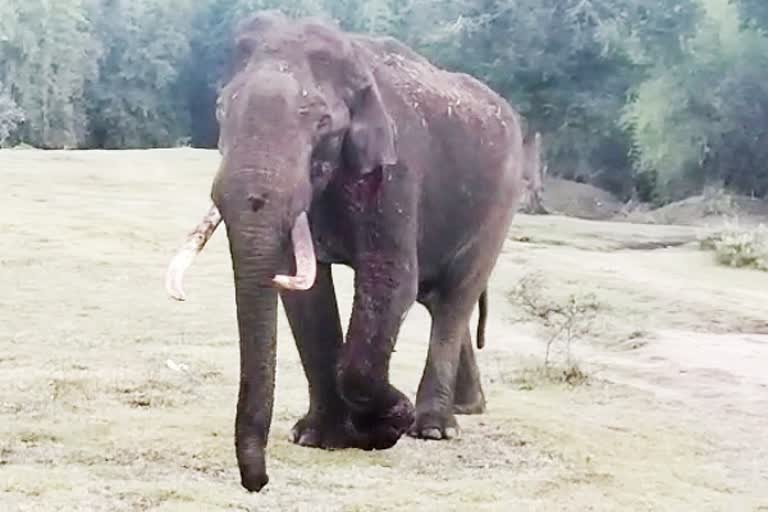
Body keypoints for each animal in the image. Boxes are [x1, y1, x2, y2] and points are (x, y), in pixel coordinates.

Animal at [165, 11, 536, 492]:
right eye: (221, 110)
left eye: (322, 123)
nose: (257, 482)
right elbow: (302, 292)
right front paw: (317, 437)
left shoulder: (396, 171)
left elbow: (390, 281)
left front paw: (387, 422)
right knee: (439, 300)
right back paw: (466, 408)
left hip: (500, 204)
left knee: (456, 297)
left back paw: (434, 427)